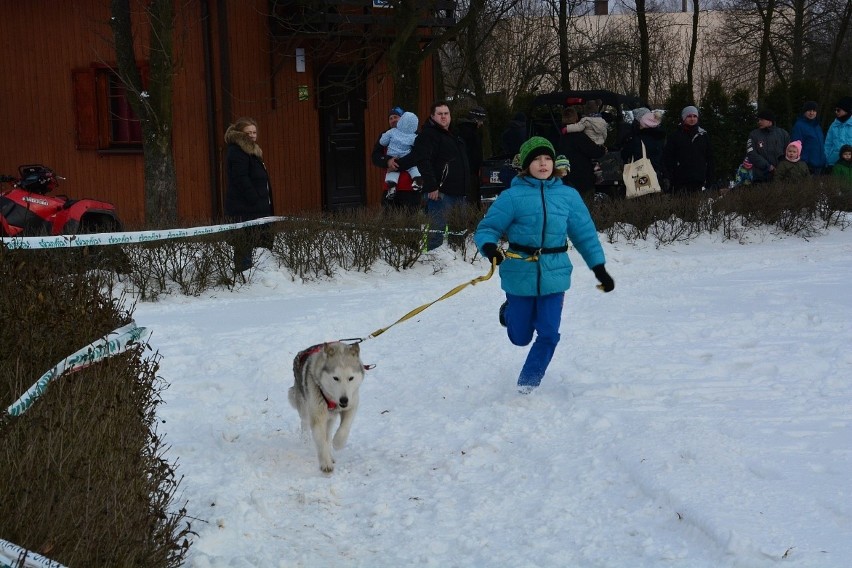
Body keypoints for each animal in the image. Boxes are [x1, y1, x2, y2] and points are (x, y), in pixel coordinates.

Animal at [292, 340, 364, 472]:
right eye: (335, 378)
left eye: (351, 378)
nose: (344, 400)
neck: (333, 400)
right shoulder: (317, 416)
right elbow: (321, 441)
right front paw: (325, 463)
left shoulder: (352, 405)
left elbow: (345, 427)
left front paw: (338, 443)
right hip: (305, 407)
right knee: (305, 423)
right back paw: (305, 439)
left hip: (330, 418)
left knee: (328, 434)